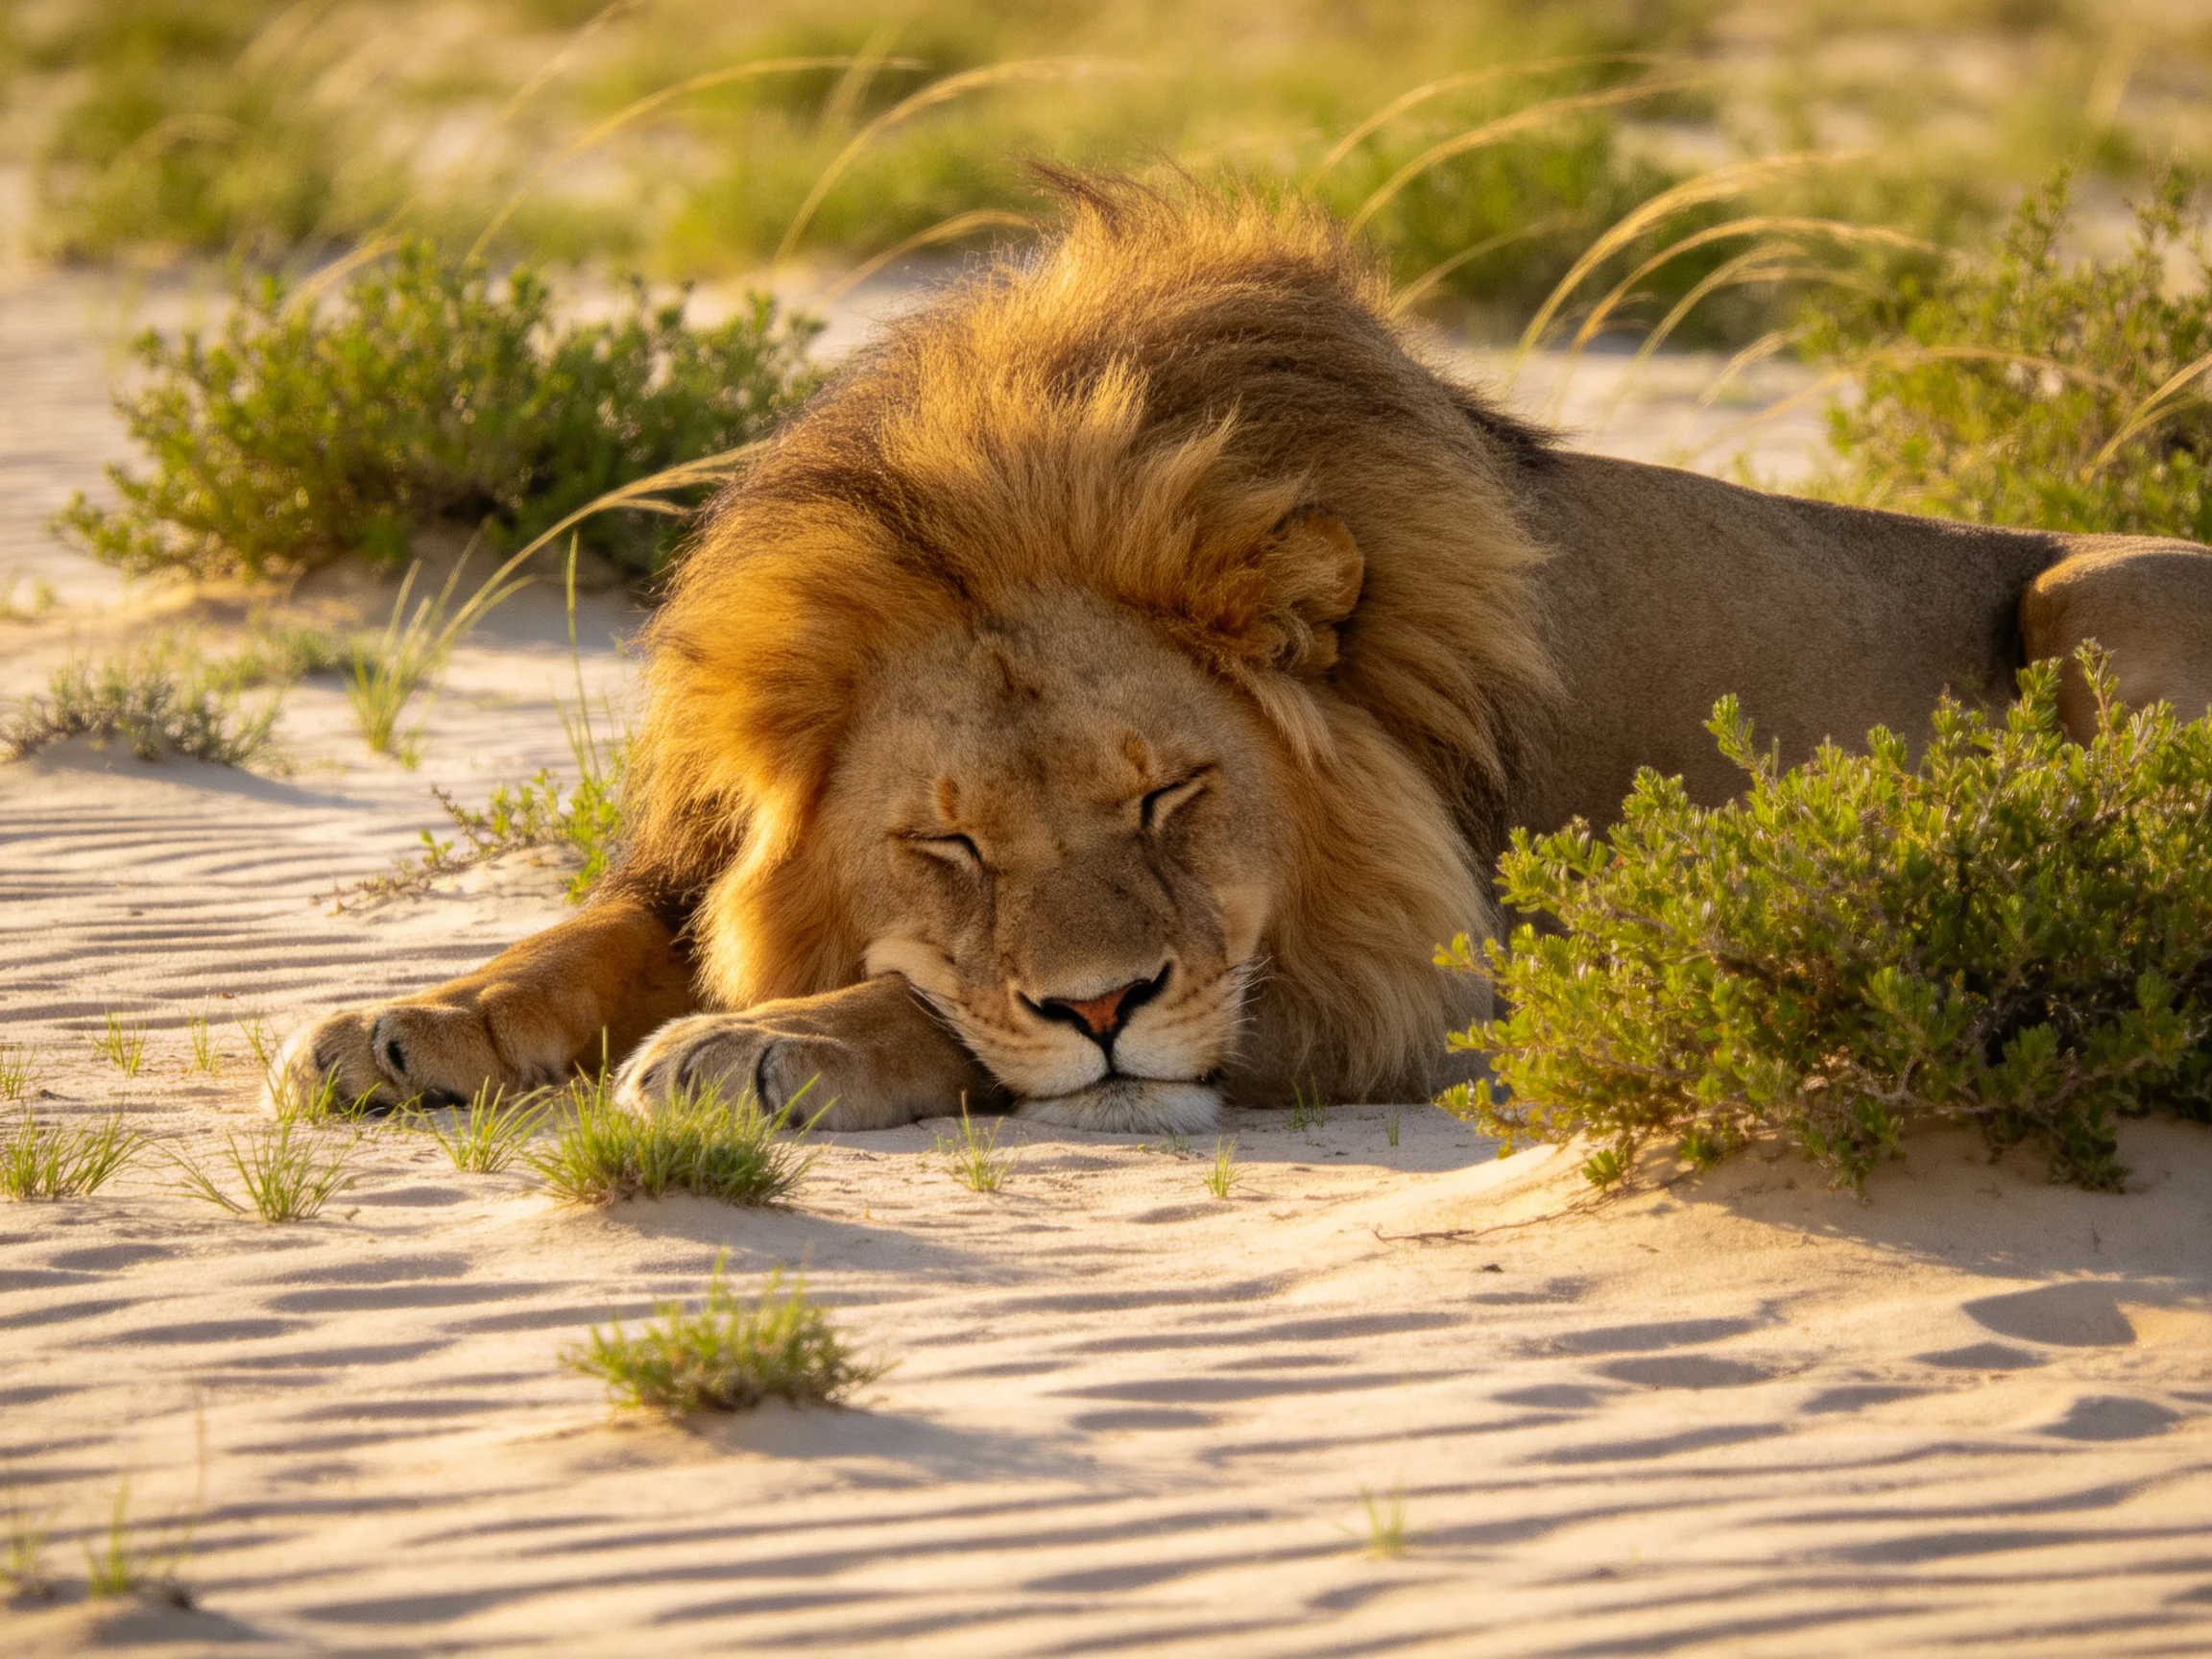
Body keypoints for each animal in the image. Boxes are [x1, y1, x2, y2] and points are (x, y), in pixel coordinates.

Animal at [275, 180, 2212, 1134]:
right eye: (948, 839)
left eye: (1172, 798)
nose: (1106, 1006)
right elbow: (579, 943)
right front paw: (398, 1023)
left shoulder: (1409, 979)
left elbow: (949, 1018)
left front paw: (761, 1044)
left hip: (2095, 599)